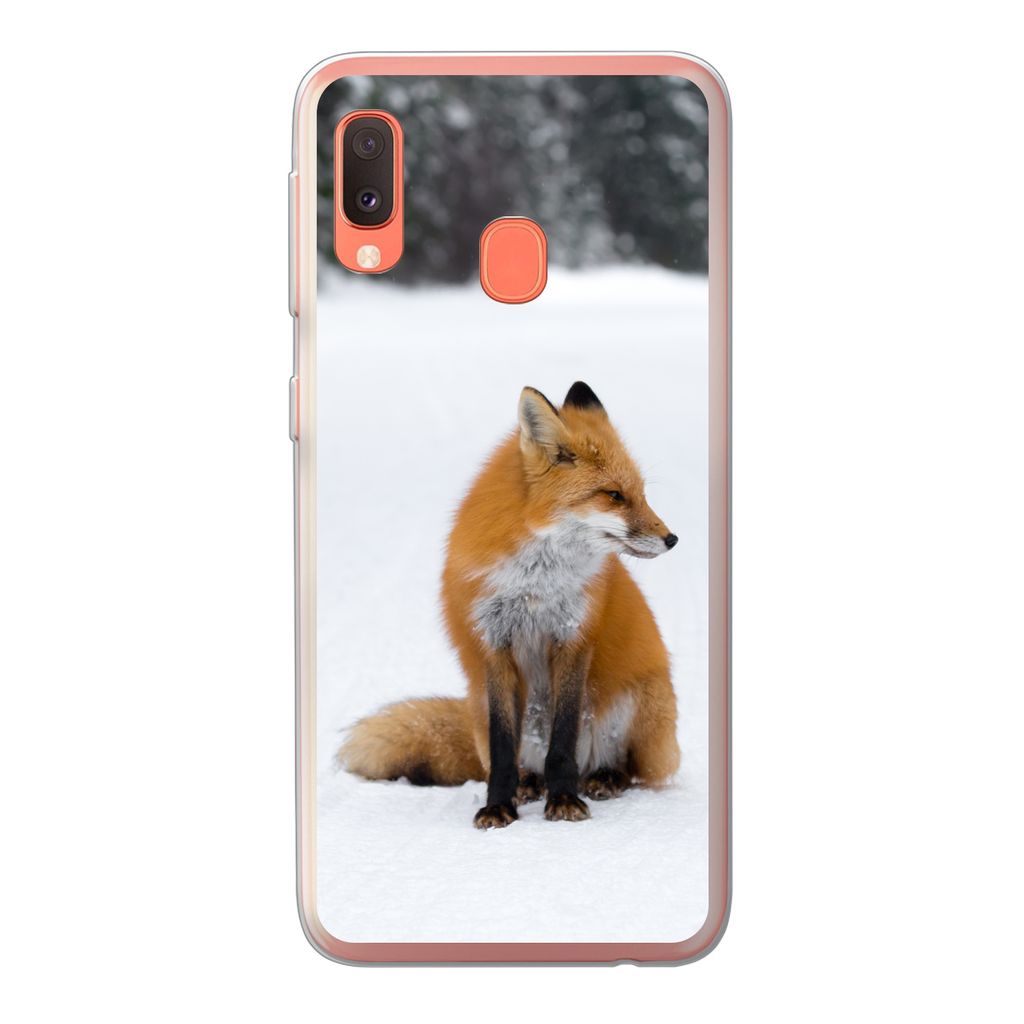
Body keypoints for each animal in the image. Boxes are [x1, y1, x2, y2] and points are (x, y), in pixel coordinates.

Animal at [339, 381, 681, 829]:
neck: (534, 584)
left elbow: (563, 742)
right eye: (614, 495)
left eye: (641, 494)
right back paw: (529, 784)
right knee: (517, 762)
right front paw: (499, 805)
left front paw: (564, 801)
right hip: (482, 706)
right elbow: (503, 751)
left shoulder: (572, 638)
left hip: (637, 704)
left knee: (629, 767)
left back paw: (603, 778)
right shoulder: (494, 643)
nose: (673, 539)